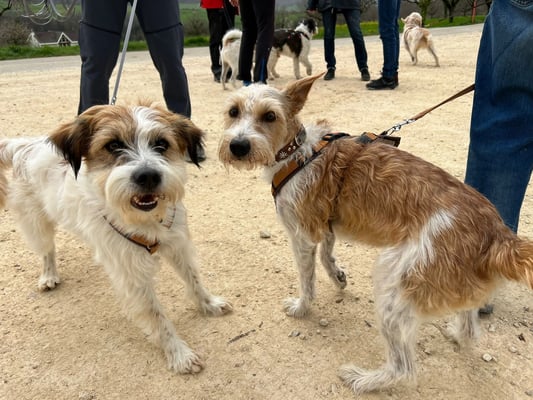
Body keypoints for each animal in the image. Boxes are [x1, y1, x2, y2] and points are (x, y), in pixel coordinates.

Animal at [0, 102, 232, 374]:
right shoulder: (132, 275)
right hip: (36, 224)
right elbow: (157, 316)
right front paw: (179, 353)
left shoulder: (177, 245)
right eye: (112, 145)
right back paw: (48, 275)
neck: (145, 219)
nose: (148, 176)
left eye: (161, 144)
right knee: (47, 250)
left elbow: (194, 280)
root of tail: (25, 146)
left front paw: (209, 304)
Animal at [218, 75, 533, 393]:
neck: (295, 153)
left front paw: (301, 307)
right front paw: (338, 277)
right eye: (233, 111)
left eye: (270, 116)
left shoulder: (301, 236)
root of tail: (497, 234)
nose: (238, 146)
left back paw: (363, 379)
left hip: (393, 280)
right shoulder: (326, 224)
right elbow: (327, 255)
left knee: (404, 368)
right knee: (469, 328)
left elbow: (307, 280)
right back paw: (456, 334)